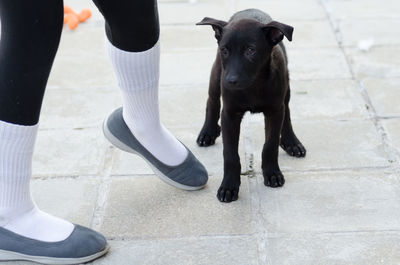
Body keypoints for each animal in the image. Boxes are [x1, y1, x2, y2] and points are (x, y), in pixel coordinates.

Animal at [197, 8, 306, 202]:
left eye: (250, 50)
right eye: (225, 50)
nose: (230, 81)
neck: (253, 85)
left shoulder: (274, 111)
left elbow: (270, 145)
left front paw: (272, 173)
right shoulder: (229, 114)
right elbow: (230, 154)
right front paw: (228, 186)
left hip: (285, 88)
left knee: (287, 111)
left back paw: (292, 141)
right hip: (216, 74)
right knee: (212, 101)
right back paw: (207, 131)